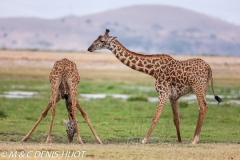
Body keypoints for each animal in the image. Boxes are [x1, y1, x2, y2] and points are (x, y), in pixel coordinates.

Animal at [87, 29, 221, 144]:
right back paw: (193, 138)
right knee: (203, 106)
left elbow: (155, 117)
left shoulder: (163, 92)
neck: (153, 71)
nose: (89, 48)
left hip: (197, 86)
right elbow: (176, 119)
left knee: (203, 106)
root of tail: (209, 67)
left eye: (102, 41)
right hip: (203, 88)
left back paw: (195, 140)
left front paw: (144, 140)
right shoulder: (173, 96)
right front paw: (179, 140)